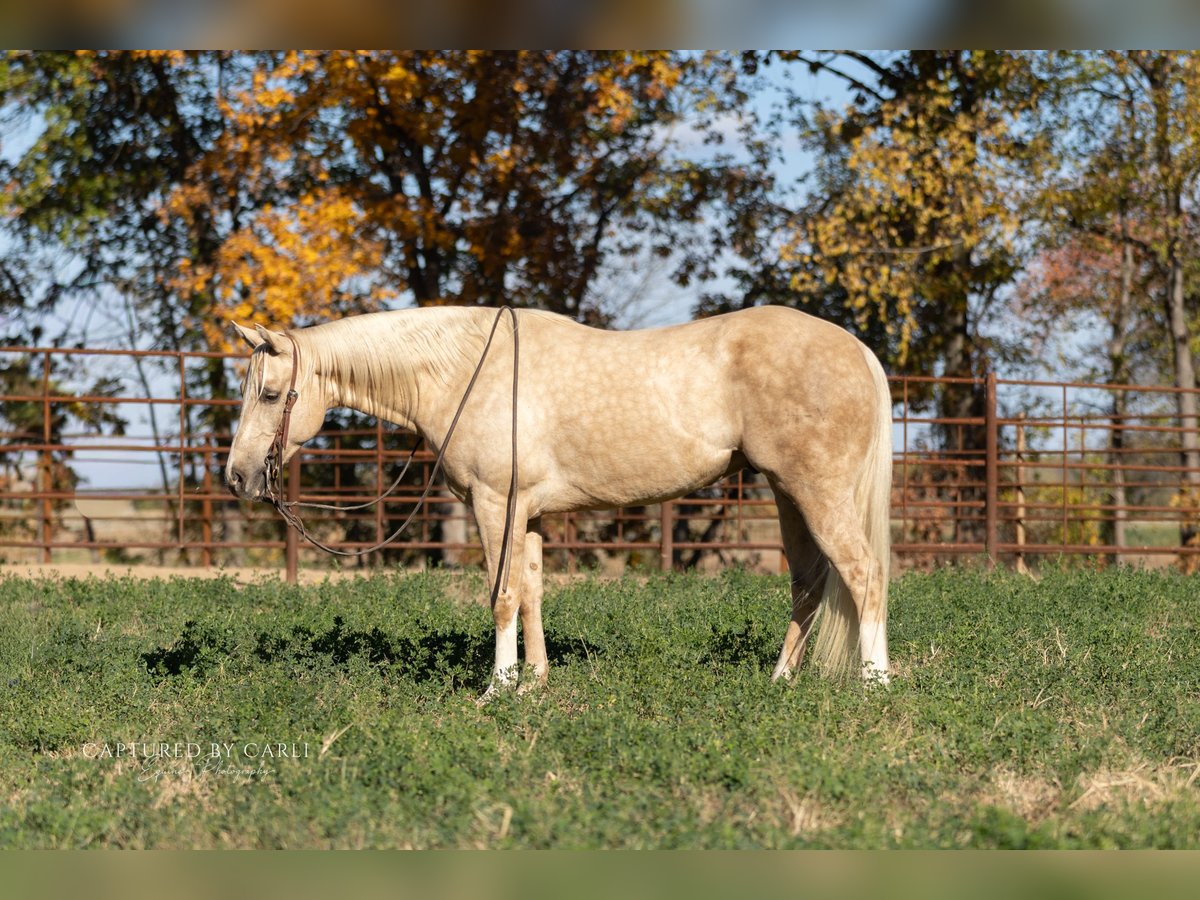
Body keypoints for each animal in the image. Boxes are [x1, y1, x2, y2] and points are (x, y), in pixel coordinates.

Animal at [224, 305, 893, 694]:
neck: (464, 370)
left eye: (270, 394)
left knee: (864, 575)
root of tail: (856, 349)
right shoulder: (530, 514)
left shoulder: (495, 504)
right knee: (809, 584)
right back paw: (780, 682)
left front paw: (498, 688)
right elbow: (533, 593)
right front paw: (535, 683)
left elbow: (501, 595)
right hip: (787, 495)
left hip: (816, 493)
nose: (236, 477)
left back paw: (874, 685)